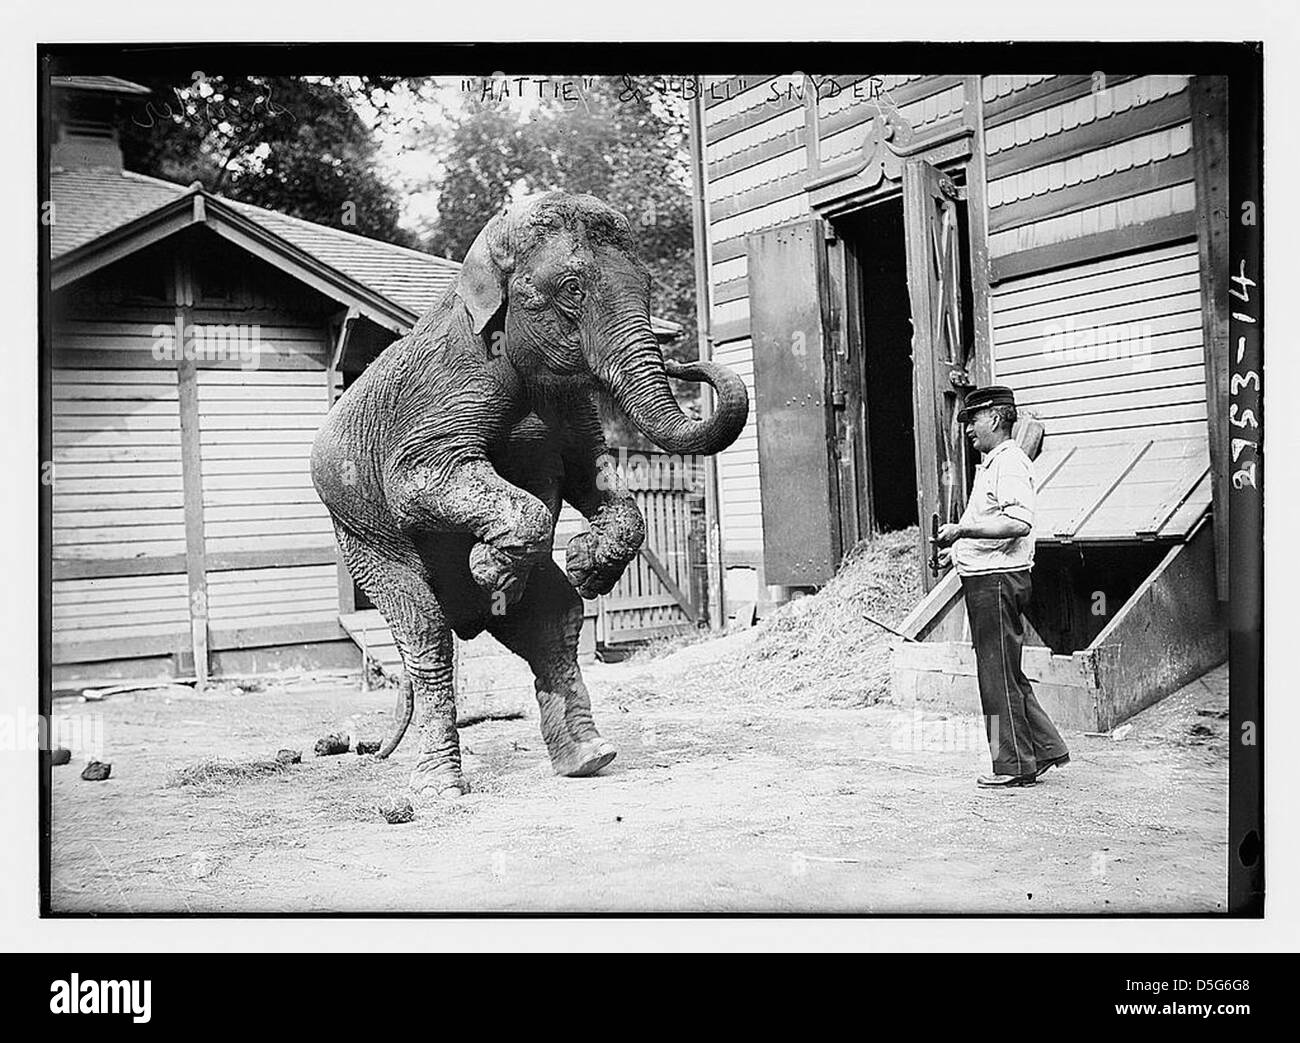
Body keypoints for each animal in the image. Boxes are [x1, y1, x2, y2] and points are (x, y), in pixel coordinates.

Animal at [308, 191, 748, 801]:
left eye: (648, 282)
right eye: (572, 288)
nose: (687, 360)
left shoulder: (571, 409)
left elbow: (593, 472)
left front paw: (583, 565)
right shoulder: (442, 395)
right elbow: (419, 480)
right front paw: (488, 566)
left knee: (555, 620)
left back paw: (588, 756)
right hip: (360, 536)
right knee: (428, 634)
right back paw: (439, 787)